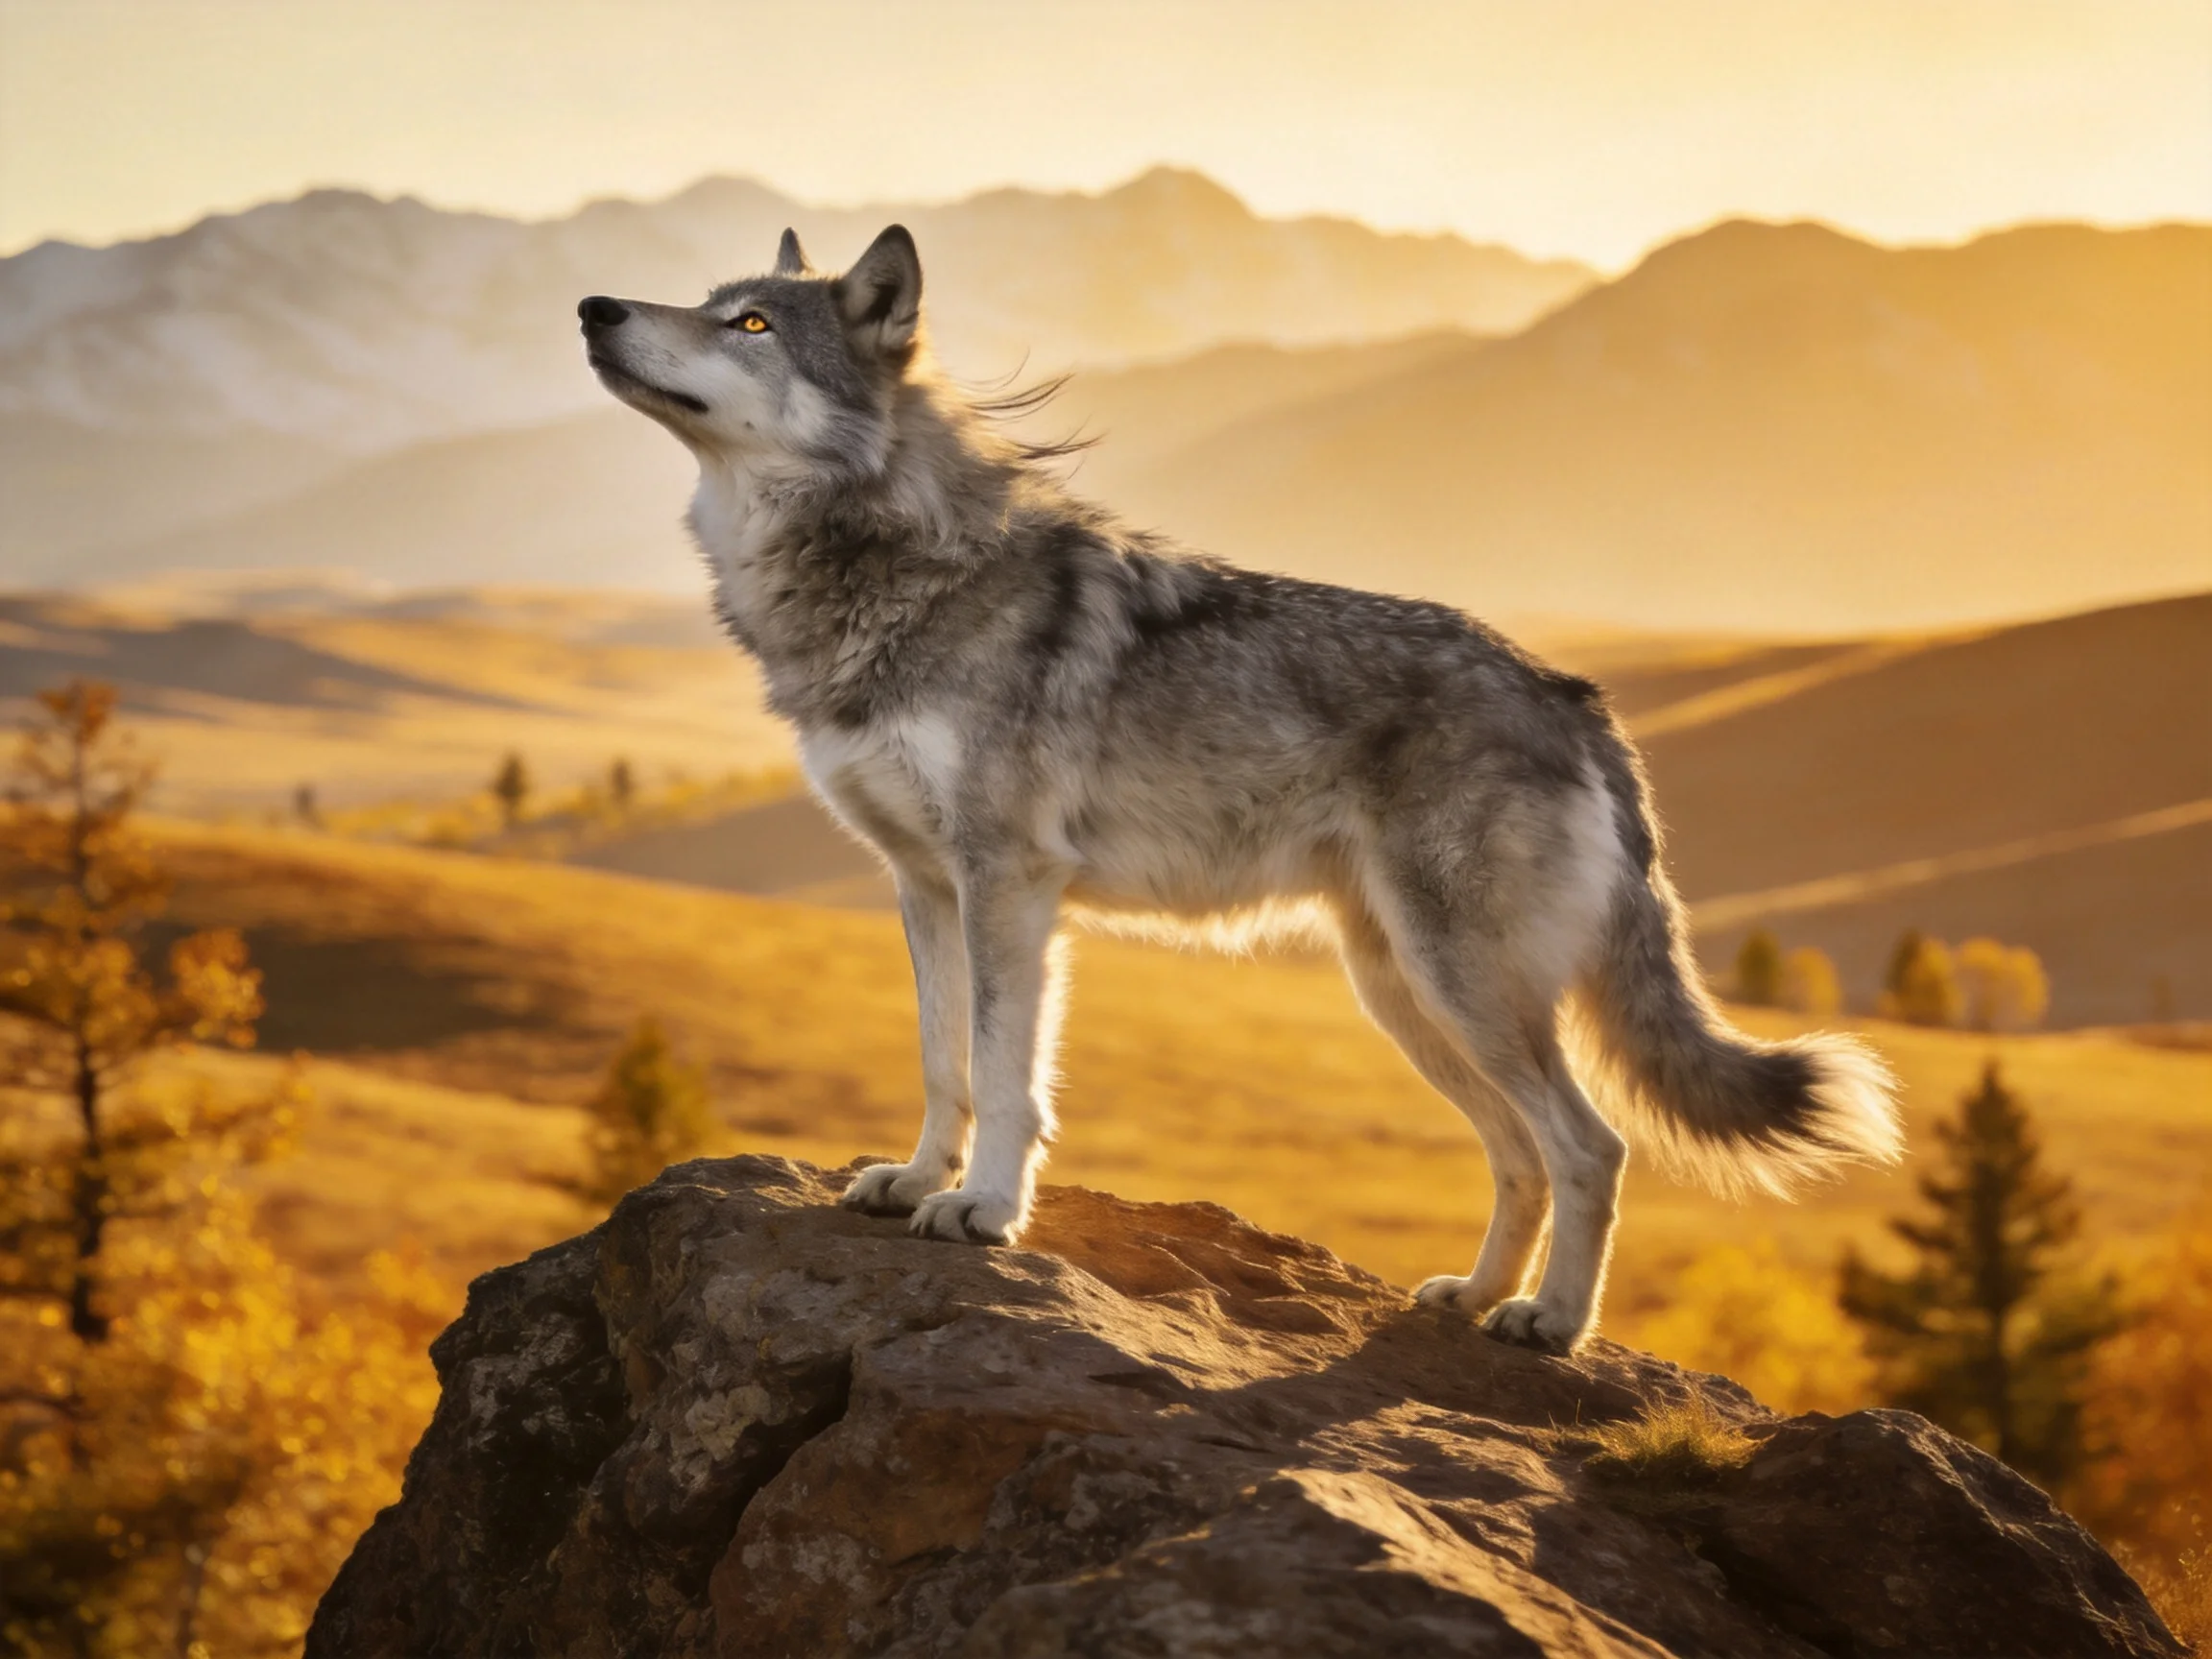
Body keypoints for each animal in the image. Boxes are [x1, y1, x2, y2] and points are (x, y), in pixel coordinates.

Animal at [578, 225, 1901, 1353]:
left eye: (751, 323)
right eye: (707, 302)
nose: (595, 307)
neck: (888, 565)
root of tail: (1573, 694)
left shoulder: (1009, 882)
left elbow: (1006, 1073)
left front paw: (985, 1212)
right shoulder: (923, 884)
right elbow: (944, 1061)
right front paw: (913, 1182)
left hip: (1460, 986)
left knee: (1594, 1147)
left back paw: (1551, 1325)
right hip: (1405, 995)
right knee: (1523, 1156)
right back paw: (1473, 1298)